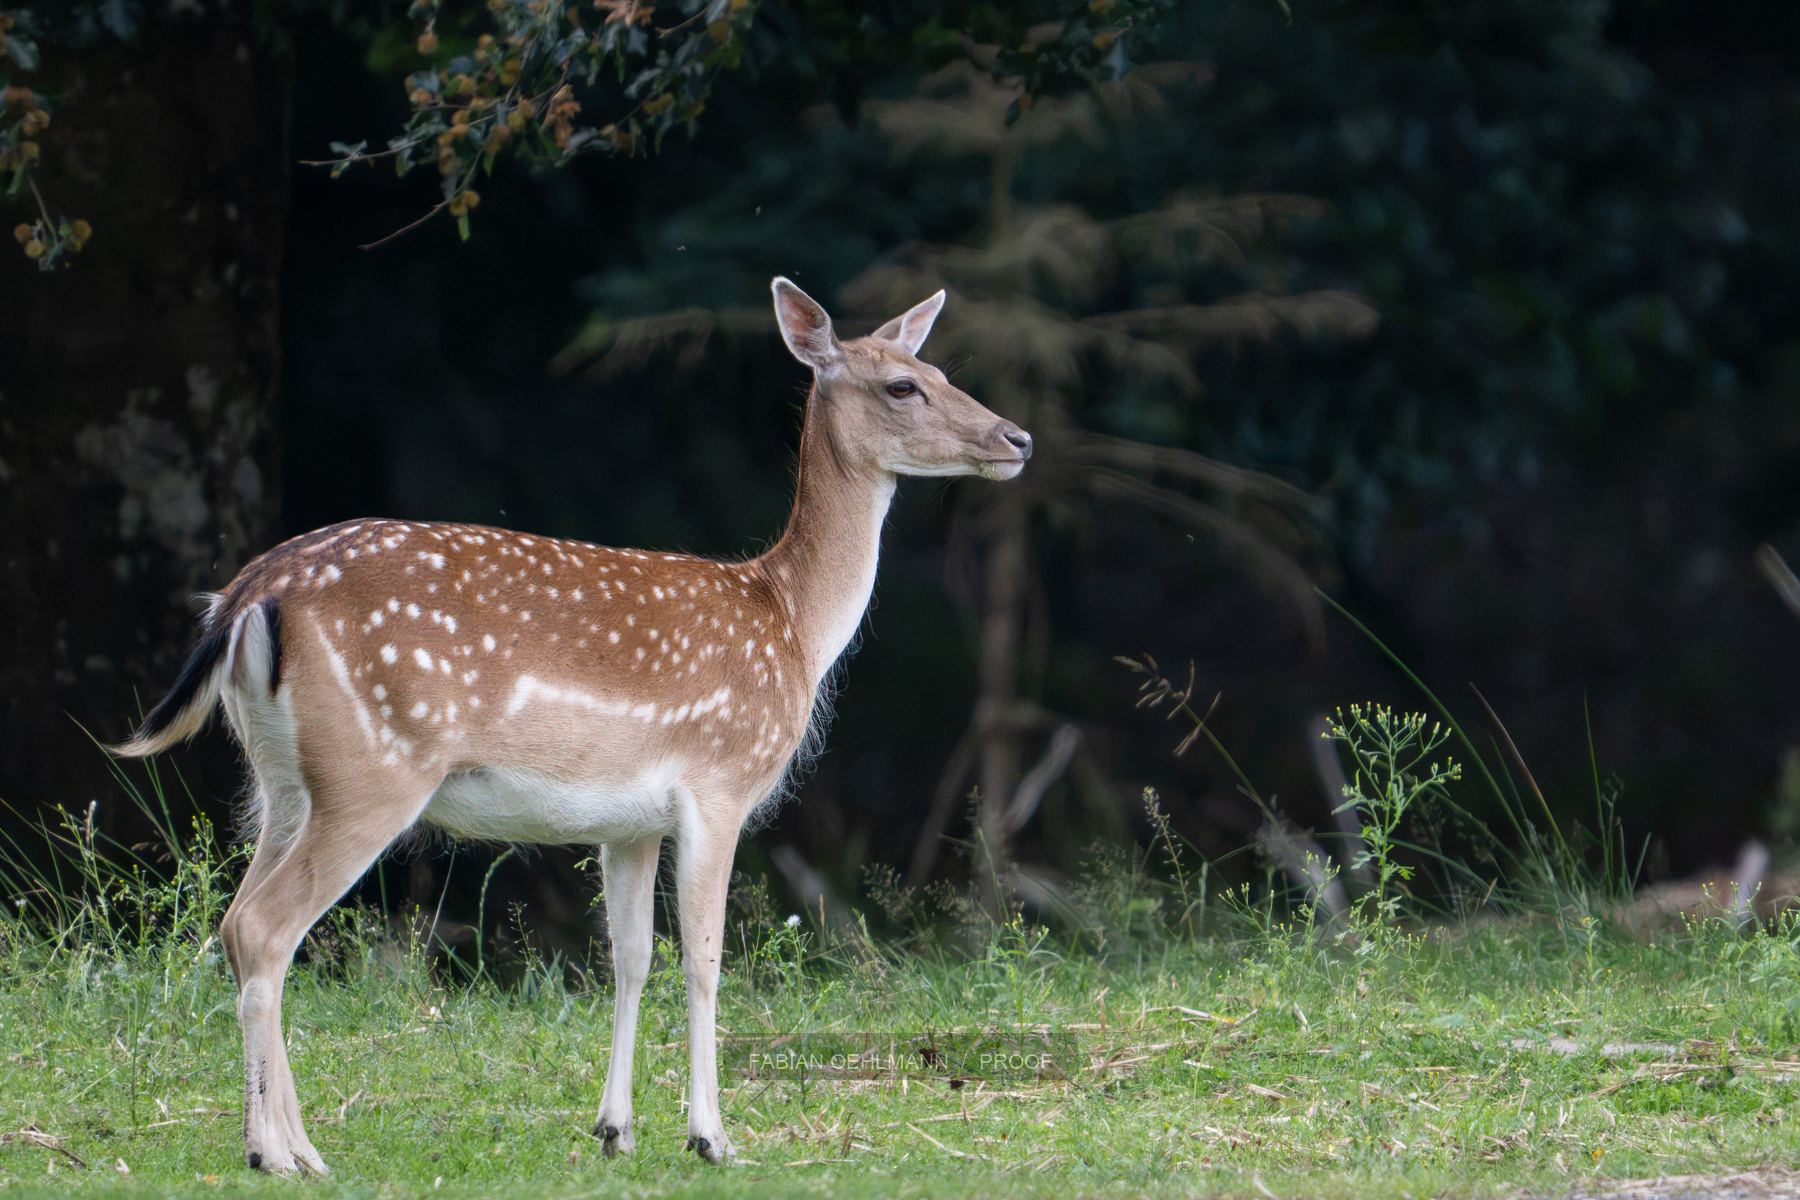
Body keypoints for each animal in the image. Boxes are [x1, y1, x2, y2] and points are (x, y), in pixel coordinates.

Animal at [109, 277, 1031, 1175]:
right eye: (903, 385)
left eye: (942, 370)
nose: (1016, 437)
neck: (791, 623)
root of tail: (246, 598)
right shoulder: (718, 783)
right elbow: (704, 957)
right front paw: (712, 1137)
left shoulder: (630, 822)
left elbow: (631, 957)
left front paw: (615, 1130)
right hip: (372, 772)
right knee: (265, 930)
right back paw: (276, 1153)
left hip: (280, 782)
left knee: (238, 923)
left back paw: (294, 1146)